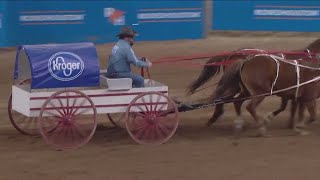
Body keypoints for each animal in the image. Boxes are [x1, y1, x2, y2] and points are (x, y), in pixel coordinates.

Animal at [186, 38, 320, 127]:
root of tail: (234, 53)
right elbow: (289, 106)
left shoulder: (292, 90)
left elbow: (289, 106)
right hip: (238, 86)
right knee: (225, 98)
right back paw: (216, 118)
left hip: (240, 87)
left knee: (228, 99)